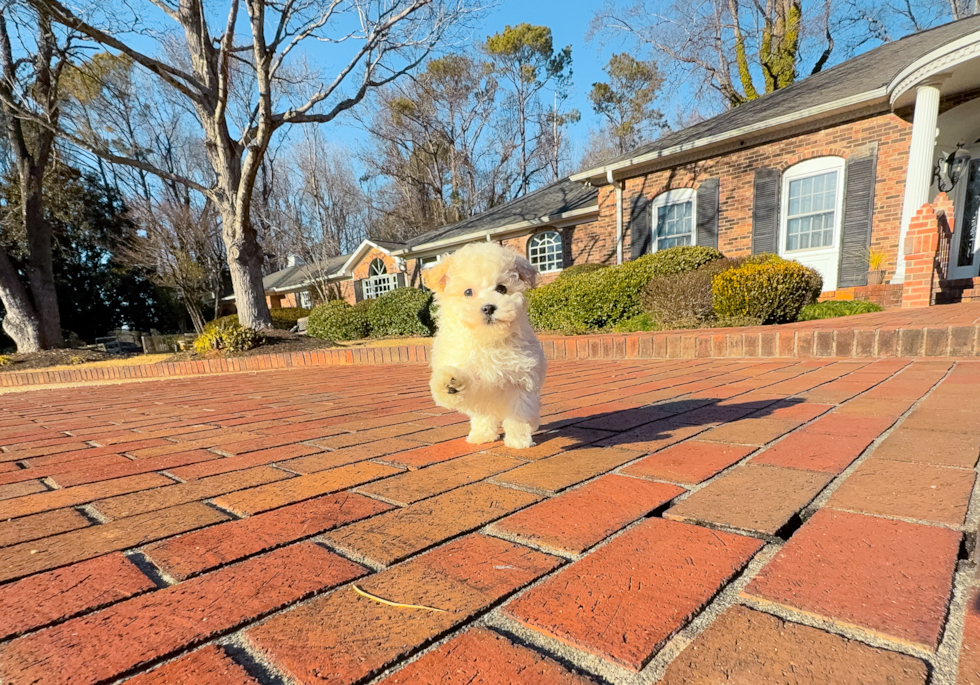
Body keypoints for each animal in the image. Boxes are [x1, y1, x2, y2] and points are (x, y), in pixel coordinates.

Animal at [424, 242, 548, 448]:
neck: (487, 339)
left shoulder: (521, 381)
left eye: (502, 289)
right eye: (468, 292)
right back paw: (481, 435)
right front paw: (449, 384)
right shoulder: (470, 374)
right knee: (483, 416)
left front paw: (518, 440)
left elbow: (519, 413)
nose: (489, 307)